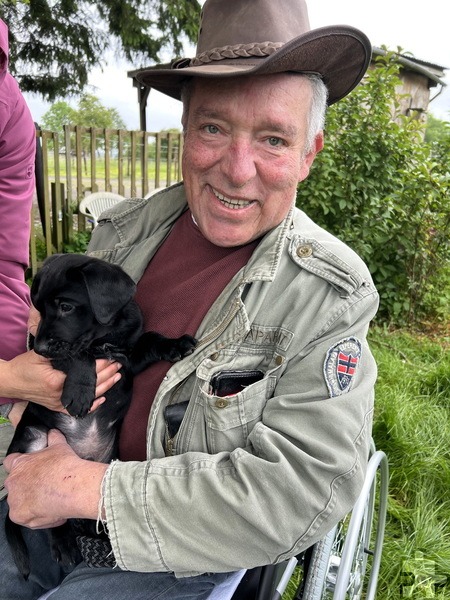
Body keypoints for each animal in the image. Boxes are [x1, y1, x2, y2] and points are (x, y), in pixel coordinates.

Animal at [4, 252, 195, 576]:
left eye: (66, 306)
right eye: (38, 308)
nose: (38, 348)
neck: (105, 338)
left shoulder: (129, 358)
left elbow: (151, 338)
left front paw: (176, 344)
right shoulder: (66, 358)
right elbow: (78, 354)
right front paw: (80, 391)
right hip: (33, 440)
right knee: (51, 516)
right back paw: (64, 543)